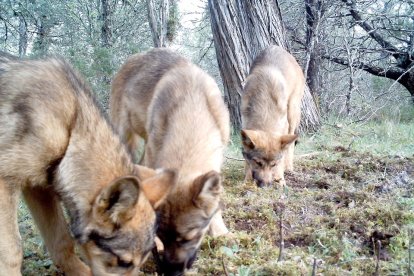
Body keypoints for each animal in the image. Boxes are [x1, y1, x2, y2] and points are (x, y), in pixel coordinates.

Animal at [0, 57, 176, 274]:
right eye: (123, 262)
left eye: (142, 262)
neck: (71, 129)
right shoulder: (6, 182)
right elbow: (12, 252)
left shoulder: (39, 188)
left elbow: (62, 242)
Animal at [241, 45, 306, 188]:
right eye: (258, 163)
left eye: (273, 164)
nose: (265, 186)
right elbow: (247, 159)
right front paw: (247, 180)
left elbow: (282, 157)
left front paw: (280, 179)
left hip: (292, 112)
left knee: (290, 144)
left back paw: (289, 168)